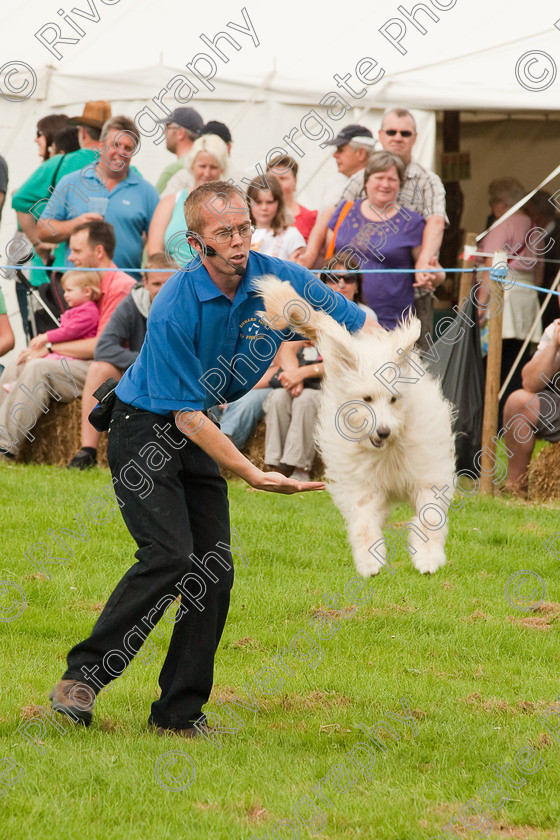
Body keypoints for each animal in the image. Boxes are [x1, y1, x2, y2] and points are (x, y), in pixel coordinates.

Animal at [256, 276, 458, 576]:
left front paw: (428, 558)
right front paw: (369, 562)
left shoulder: (427, 475)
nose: (383, 431)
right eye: (366, 399)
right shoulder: (363, 487)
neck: (387, 449)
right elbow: (364, 524)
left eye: (394, 398)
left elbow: (429, 518)